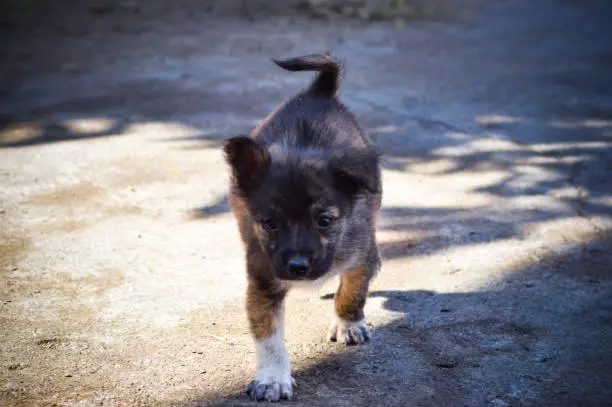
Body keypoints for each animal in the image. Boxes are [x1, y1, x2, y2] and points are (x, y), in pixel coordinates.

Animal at [222, 53, 380, 402]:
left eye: (324, 222)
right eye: (269, 224)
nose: (297, 267)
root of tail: (318, 92)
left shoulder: (358, 254)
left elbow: (352, 291)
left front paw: (348, 324)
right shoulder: (263, 279)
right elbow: (268, 337)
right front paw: (272, 378)